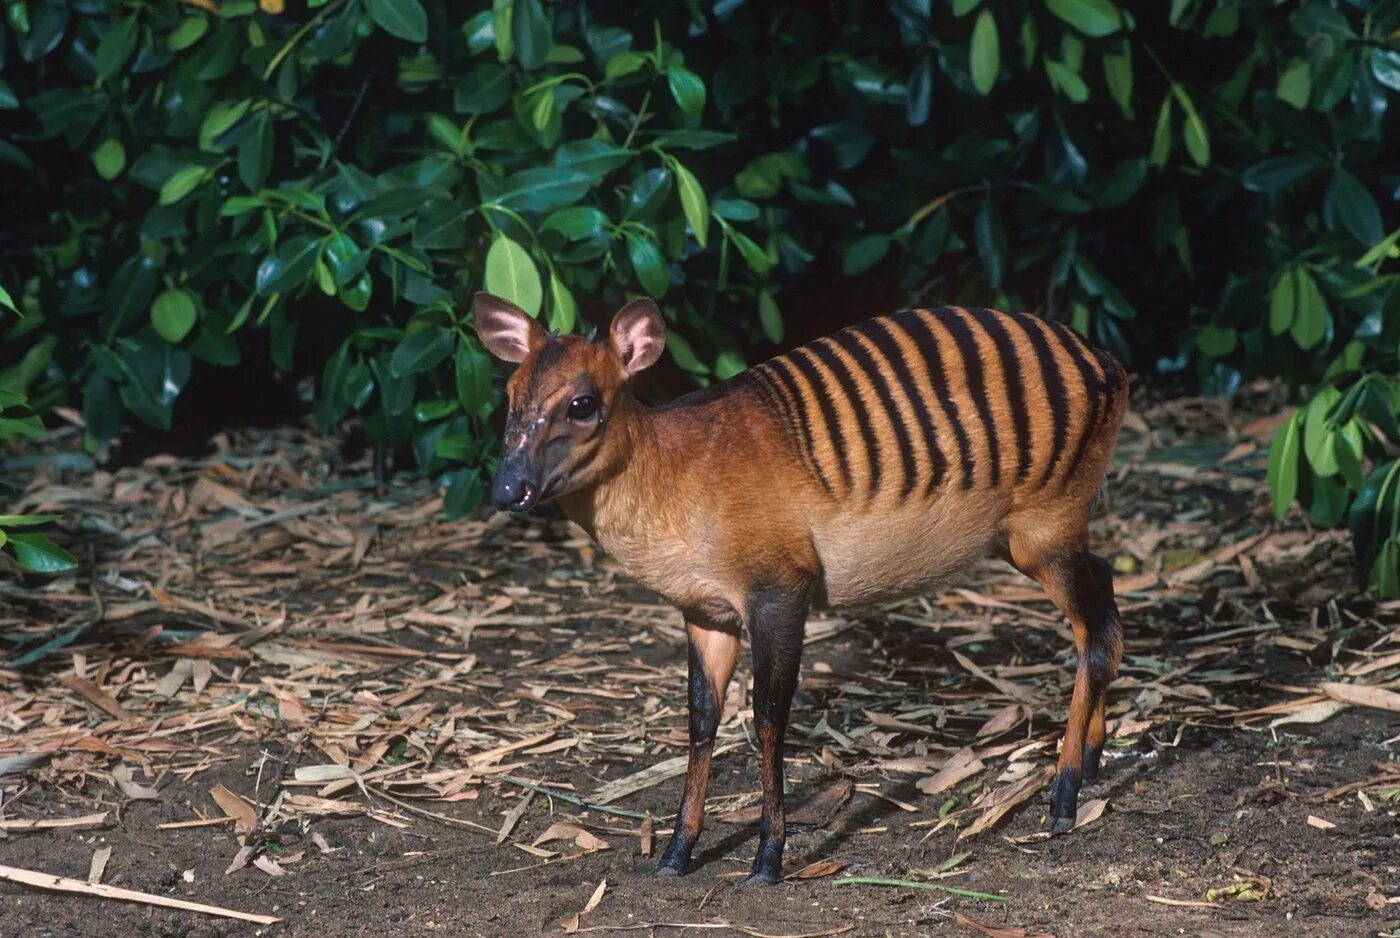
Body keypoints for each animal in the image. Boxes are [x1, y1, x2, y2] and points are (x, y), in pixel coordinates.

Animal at [470, 295, 1125, 890]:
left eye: (582, 404)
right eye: (509, 397)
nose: (505, 490)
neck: (675, 471)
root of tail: (1106, 361)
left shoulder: (781, 592)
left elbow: (768, 718)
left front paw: (768, 858)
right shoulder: (704, 611)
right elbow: (702, 716)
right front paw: (678, 851)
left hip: (1047, 523)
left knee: (1097, 628)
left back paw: (1065, 793)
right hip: (1033, 536)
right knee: (1105, 597)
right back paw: (1093, 758)